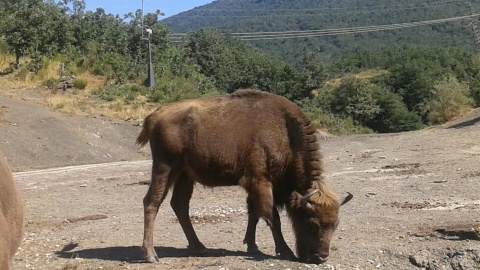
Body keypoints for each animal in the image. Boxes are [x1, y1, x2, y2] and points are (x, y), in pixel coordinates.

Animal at [137, 89, 350, 262]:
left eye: (336, 225)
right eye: (312, 224)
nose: (321, 257)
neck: (285, 133)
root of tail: (154, 115)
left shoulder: (255, 186)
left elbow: (254, 213)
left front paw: (253, 246)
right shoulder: (260, 182)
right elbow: (272, 217)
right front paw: (285, 251)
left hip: (185, 175)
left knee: (180, 205)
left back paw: (199, 247)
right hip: (165, 168)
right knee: (152, 202)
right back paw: (151, 255)